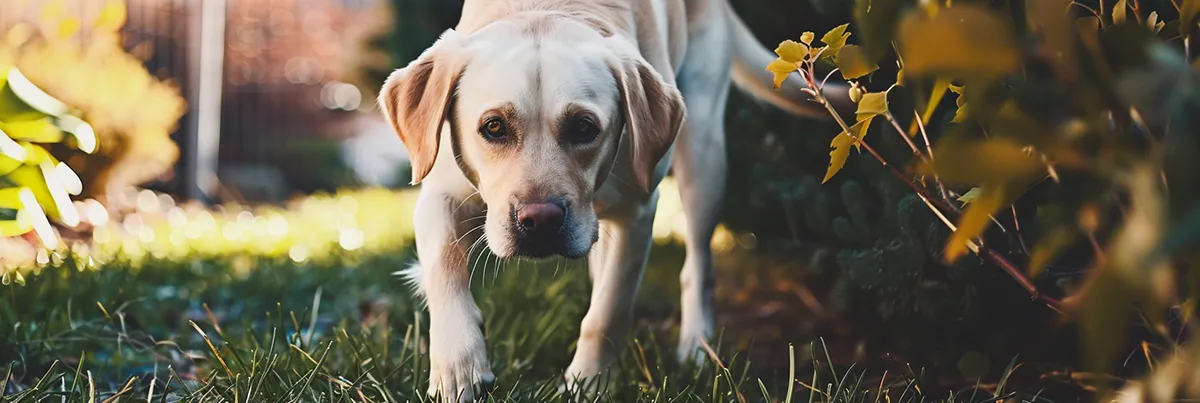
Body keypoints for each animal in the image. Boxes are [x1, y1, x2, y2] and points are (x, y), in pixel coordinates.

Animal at [374, 0, 844, 398]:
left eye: (584, 127)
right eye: (493, 127)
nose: (540, 220)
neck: (546, 9)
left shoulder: (636, 214)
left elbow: (607, 312)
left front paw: (588, 384)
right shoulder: (438, 195)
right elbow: (444, 270)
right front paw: (458, 369)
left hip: (703, 152)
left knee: (698, 265)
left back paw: (696, 348)